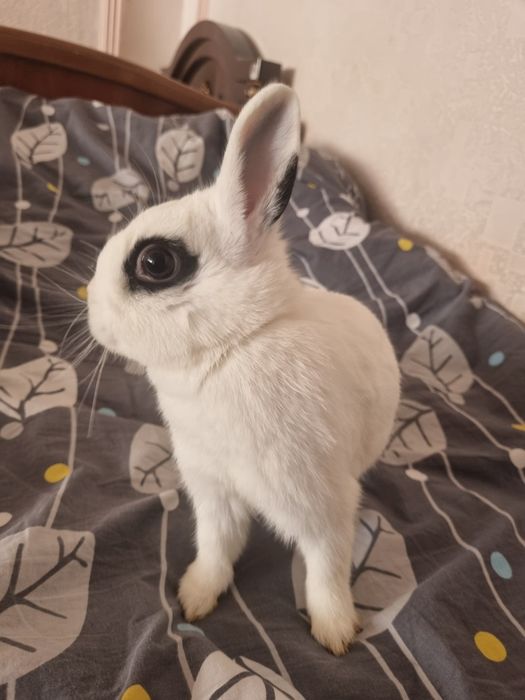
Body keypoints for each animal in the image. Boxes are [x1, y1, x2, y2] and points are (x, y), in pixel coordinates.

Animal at [87, 84, 400, 655]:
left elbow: (326, 567)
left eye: (155, 263)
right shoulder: (214, 490)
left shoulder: (320, 501)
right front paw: (195, 596)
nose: (91, 308)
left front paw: (335, 632)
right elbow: (216, 547)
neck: (234, 346)